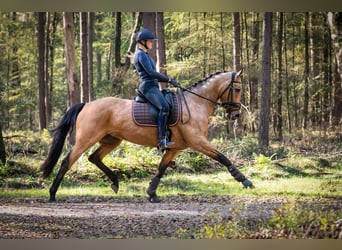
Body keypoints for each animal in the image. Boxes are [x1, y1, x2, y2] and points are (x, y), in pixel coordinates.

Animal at [40, 69, 254, 203]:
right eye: (237, 89)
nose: (236, 115)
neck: (196, 103)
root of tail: (86, 104)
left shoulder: (175, 148)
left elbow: (160, 170)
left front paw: (152, 193)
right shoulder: (198, 142)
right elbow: (223, 157)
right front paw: (244, 180)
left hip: (112, 140)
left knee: (94, 158)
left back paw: (115, 182)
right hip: (86, 139)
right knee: (67, 162)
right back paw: (52, 194)